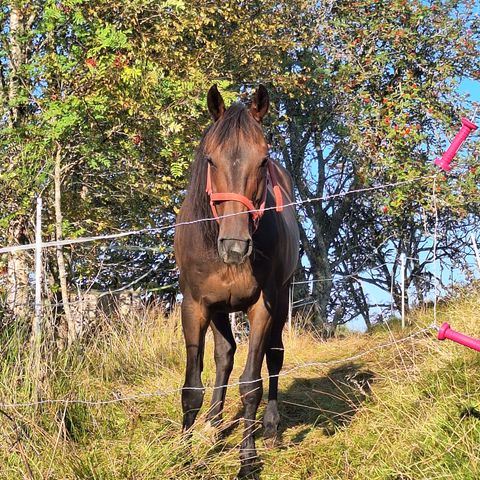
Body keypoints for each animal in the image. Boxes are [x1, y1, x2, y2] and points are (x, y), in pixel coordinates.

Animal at [174, 84, 298, 478]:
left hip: (281, 300)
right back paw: (213, 423)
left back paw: (270, 426)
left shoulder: (263, 306)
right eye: (210, 160)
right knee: (225, 355)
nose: (234, 246)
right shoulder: (195, 306)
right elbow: (192, 388)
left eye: (263, 160)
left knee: (274, 356)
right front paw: (183, 455)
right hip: (218, 309)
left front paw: (247, 460)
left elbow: (251, 385)